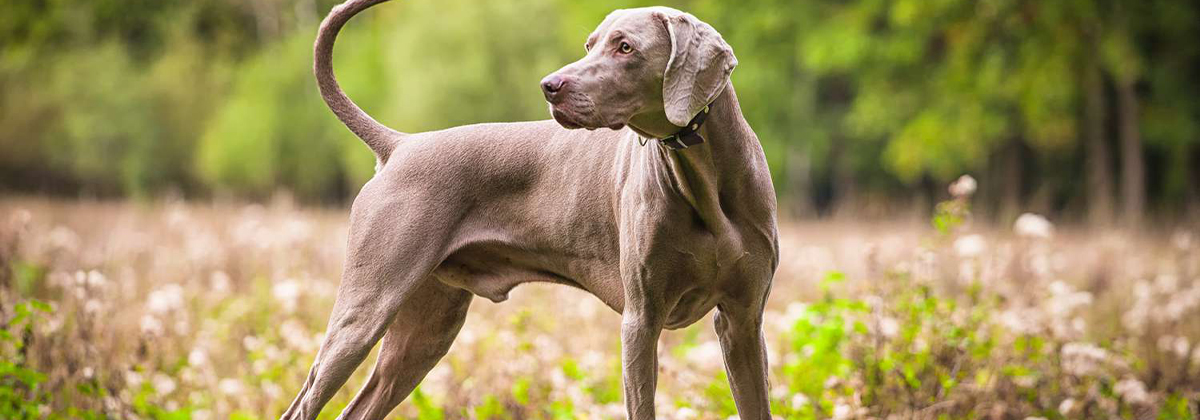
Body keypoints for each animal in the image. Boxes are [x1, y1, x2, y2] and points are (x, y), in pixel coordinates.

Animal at [285, 0, 782, 417]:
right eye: (589, 44)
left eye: (625, 47)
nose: (550, 86)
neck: (704, 177)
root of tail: (401, 144)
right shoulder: (641, 321)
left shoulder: (742, 321)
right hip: (366, 309)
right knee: (305, 404)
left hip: (425, 329)